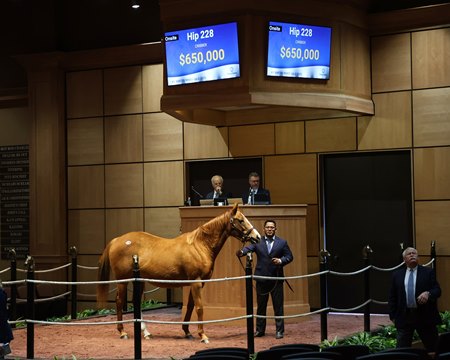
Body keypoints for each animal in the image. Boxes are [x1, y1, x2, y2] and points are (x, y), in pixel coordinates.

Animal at [96, 204, 262, 342]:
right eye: (240, 220)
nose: (257, 237)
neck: (200, 245)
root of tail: (117, 240)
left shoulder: (197, 283)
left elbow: (190, 306)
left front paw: (187, 332)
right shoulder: (196, 282)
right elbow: (199, 308)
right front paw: (203, 335)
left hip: (138, 280)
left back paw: (146, 333)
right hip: (122, 280)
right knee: (119, 302)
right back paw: (122, 332)